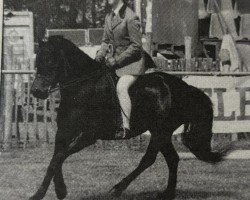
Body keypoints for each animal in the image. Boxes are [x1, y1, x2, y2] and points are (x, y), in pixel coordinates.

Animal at [29, 36, 230, 200]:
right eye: (38, 61)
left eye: (51, 61)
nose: (36, 91)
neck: (83, 88)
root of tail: (184, 87)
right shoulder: (64, 132)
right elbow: (55, 159)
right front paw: (52, 191)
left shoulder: (89, 135)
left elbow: (60, 157)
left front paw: (51, 192)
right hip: (161, 132)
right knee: (172, 159)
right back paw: (167, 194)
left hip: (161, 131)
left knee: (148, 159)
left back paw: (118, 189)